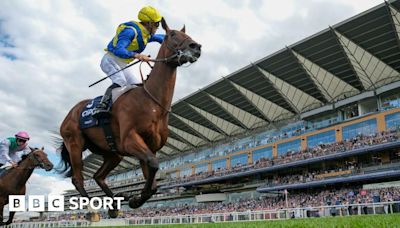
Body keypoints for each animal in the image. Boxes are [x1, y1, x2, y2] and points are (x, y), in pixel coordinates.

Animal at [57, 16, 202, 216]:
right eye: (173, 34)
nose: (196, 47)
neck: (151, 102)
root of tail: (70, 114)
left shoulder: (150, 147)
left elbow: (153, 179)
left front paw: (133, 198)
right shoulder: (130, 140)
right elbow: (154, 165)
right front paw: (134, 199)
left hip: (112, 153)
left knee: (98, 176)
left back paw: (115, 203)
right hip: (75, 144)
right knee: (78, 179)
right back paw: (93, 209)